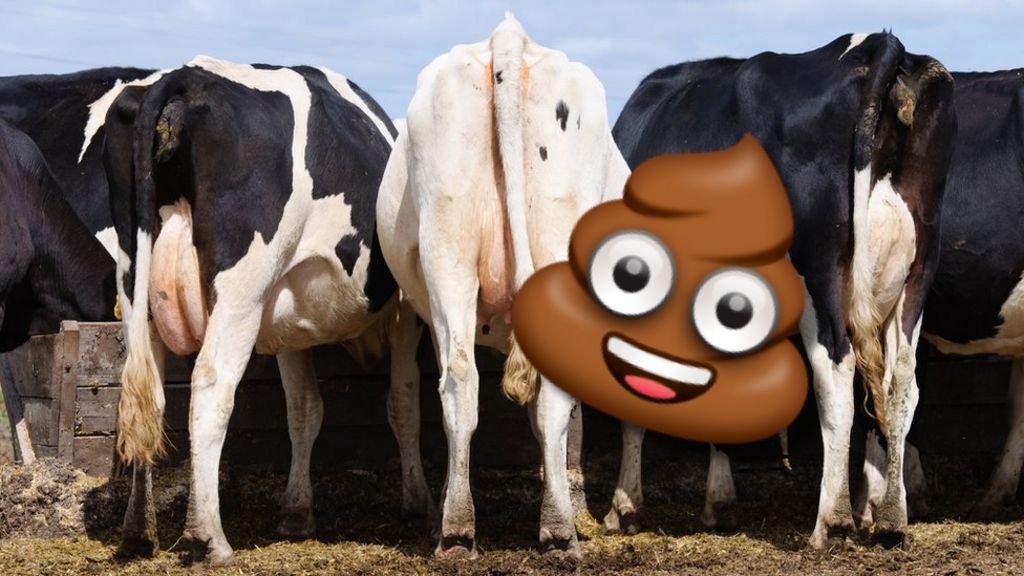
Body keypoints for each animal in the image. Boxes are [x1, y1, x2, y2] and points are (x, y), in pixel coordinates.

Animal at [105, 56, 428, 565]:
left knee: (146, 396)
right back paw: (208, 536)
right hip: (242, 289)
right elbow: (403, 403)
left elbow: (303, 410)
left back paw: (138, 530)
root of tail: (184, 77)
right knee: (211, 386)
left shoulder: (290, 321)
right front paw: (416, 503)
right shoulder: (405, 313)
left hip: (137, 283)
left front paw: (296, 513)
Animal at [376, 14, 630, 557]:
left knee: (459, 378)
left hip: (447, 251)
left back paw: (461, 527)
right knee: (516, 389)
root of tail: (510, 38)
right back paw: (552, 528)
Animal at [610, 32, 956, 548]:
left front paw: (626, 506)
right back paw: (891, 518)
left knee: (836, 373)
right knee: (901, 384)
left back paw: (831, 521)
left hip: (820, 272)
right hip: (915, 271)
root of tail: (878, 44)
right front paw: (719, 502)